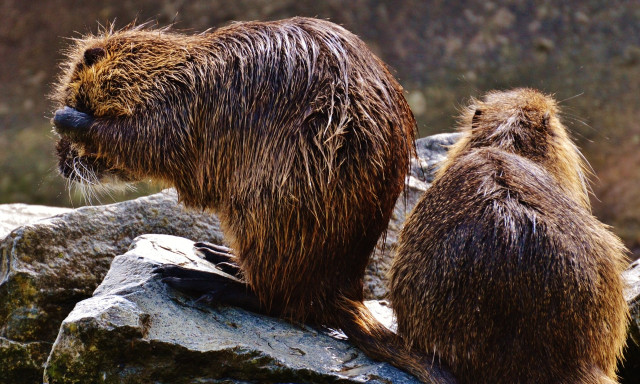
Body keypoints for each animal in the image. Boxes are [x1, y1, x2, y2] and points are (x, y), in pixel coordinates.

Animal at [51, 17, 456, 380]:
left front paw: (68, 119)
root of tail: (344, 297)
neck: (179, 70)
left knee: (279, 300)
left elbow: (148, 139)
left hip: (271, 201)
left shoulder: (184, 105)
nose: (62, 163)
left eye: (74, 94)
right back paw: (218, 255)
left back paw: (195, 278)